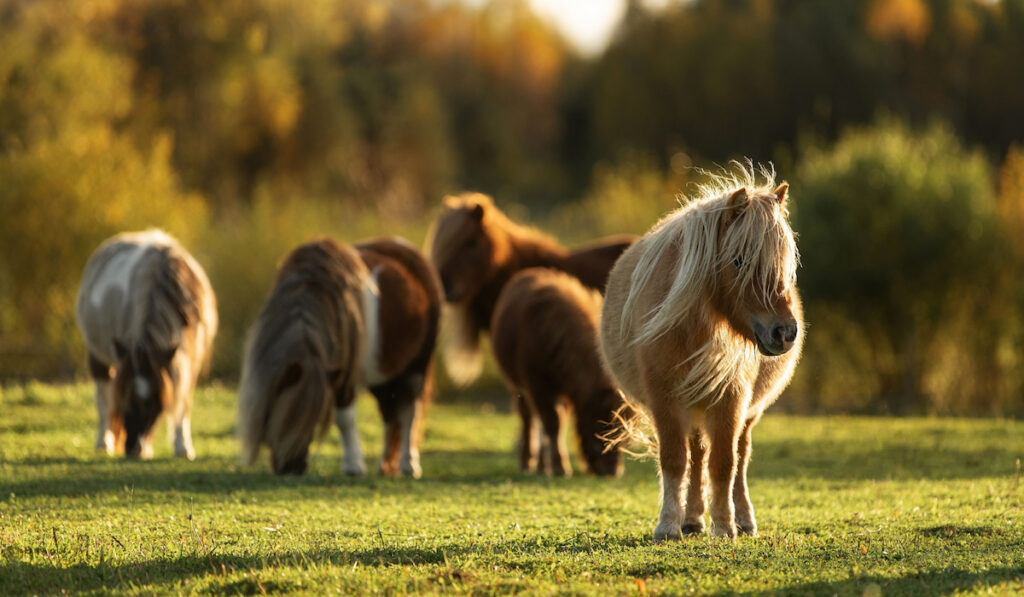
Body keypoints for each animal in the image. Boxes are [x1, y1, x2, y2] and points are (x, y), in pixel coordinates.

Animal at [77, 231, 218, 460]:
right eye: (125, 399)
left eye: (155, 403)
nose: (134, 449)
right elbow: (110, 399)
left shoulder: (190, 360)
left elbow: (183, 400)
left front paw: (183, 447)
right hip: (98, 356)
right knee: (103, 397)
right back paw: (103, 441)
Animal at [237, 237, 442, 477]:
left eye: (315, 418)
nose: (292, 468)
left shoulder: (344, 376)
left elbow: (345, 419)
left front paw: (353, 466)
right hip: (383, 375)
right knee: (390, 415)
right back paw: (385, 465)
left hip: (416, 367)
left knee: (409, 412)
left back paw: (409, 464)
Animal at [489, 268, 630, 479]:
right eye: (603, 424)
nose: (613, 471)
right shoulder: (539, 386)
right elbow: (553, 423)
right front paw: (559, 467)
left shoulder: (567, 392)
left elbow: (558, 424)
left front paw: (554, 464)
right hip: (518, 386)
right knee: (529, 418)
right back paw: (527, 462)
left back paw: (541, 466)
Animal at [598, 165, 798, 540]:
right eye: (739, 260)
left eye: (785, 266)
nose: (786, 332)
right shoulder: (665, 398)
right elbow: (676, 461)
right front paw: (668, 525)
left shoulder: (730, 400)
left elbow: (725, 464)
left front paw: (725, 527)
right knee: (695, 454)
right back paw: (690, 520)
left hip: (745, 413)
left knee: (739, 457)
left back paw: (743, 520)